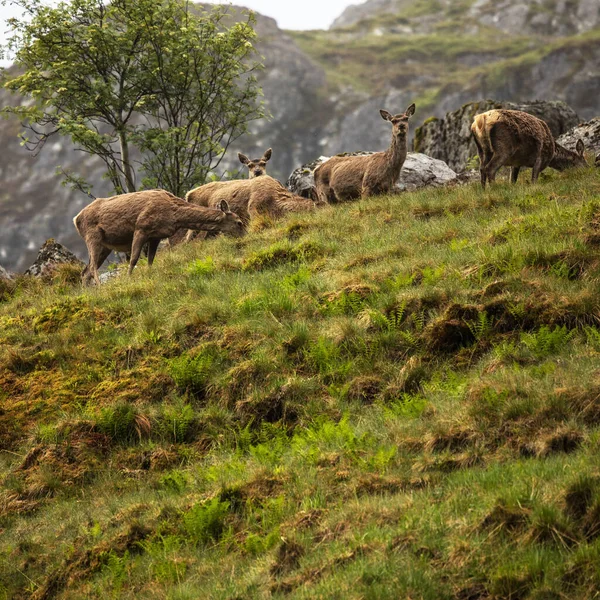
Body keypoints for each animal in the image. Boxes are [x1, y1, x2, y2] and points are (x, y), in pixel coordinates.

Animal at [73, 189, 244, 284]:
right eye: (239, 222)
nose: (244, 236)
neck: (174, 215)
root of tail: (76, 219)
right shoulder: (141, 227)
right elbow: (134, 258)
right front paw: (128, 280)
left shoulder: (155, 236)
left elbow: (150, 261)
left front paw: (149, 276)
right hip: (92, 236)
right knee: (92, 268)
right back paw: (100, 287)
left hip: (105, 245)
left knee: (85, 272)